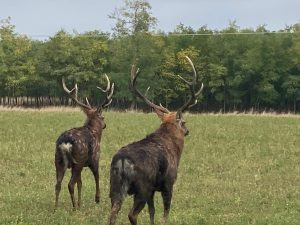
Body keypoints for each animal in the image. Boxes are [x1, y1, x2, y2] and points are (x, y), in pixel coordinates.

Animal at [54, 75, 114, 209]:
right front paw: (97, 199)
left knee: (58, 184)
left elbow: (80, 183)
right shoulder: (95, 158)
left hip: (59, 160)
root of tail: (65, 143)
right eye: (102, 116)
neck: (95, 133)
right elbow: (97, 176)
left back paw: (56, 208)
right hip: (78, 160)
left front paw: (80, 203)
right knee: (70, 184)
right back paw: (74, 208)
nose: (105, 124)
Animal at [108, 56, 204, 225]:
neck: (175, 150)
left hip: (115, 185)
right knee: (132, 214)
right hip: (142, 187)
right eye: (184, 122)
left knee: (112, 213)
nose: (187, 131)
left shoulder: (153, 189)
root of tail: (122, 161)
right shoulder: (168, 183)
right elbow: (165, 213)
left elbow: (152, 212)